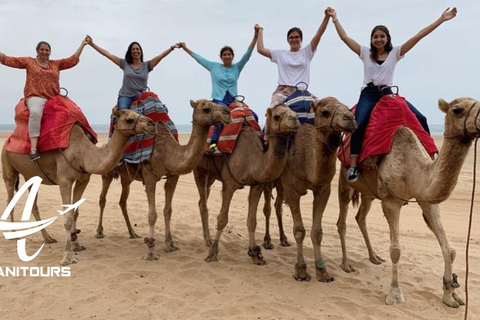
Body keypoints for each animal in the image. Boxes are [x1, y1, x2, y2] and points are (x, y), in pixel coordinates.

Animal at [1, 108, 156, 264]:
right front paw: (67, 256)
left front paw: (77, 245)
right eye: (129, 119)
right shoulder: (64, 180)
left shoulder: (83, 179)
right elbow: (68, 217)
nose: (152, 124)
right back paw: (14, 234)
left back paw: (48, 238)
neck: (82, 153)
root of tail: (8, 140)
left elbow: (74, 212)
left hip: (31, 175)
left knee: (33, 205)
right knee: (10, 198)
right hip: (7, 165)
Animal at [95, 99, 231, 260]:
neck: (168, 152)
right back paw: (99, 232)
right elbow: (152, 214)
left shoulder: (173, 177)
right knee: (102, 198)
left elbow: (168, 210)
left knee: (123, 201)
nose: (227, 113)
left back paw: (133, 233)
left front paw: (170, 244)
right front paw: (151, 253)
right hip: (107, 173)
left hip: (127, 177)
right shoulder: (149, 177)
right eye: (206, 108)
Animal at [193, 104, 302, 264]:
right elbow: (222, 219)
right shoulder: (229, 184)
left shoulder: (257, 185)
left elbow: (252, 220)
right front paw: (212, 253)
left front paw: (255, 254)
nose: (294, 119)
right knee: (203, 205)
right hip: (199, 170)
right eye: (276, 116)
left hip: (211, 175)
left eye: (294, 112)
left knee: (202, 201)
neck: (253, 159)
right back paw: (208, 240)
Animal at [260, 96, 358, 282]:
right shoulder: (293, 191)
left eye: (348, 108)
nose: (350, 119)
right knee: (267, 208)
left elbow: (317, 232)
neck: (307, 160)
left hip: (281, 185)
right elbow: (299, 230)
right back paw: (267, 241)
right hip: (270, 180)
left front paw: (322, 271)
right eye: (325, 112)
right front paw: (301, 270)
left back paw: (283, 239)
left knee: (277, 206)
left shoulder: (322, 190)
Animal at [338, 97, 480, 308]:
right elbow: (396, 250)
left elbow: (450, 249)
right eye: (457, 110)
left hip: (369, 193)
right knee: (342, 219)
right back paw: (346, 264)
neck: (413, 167)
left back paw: (374, 257)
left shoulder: (427, 201)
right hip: (344, 178)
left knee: (360, 217)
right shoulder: (390, 202)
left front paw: (450, 294)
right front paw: (395, 293)